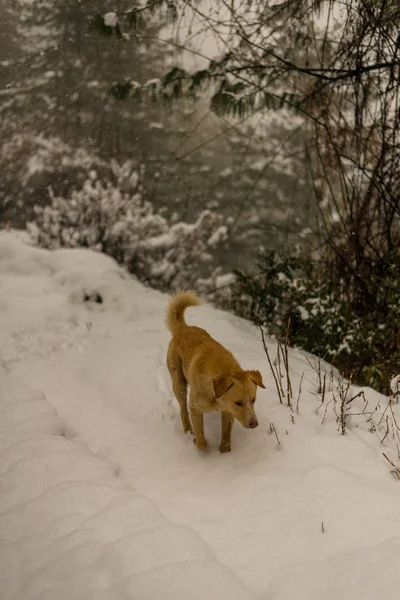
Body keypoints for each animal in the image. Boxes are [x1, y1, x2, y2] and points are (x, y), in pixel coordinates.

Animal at [166, 290, 266, 450]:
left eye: (253, 400)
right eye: (238, 402)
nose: (254, 424)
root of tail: (184, 328)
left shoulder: (228, 411)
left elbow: (226, 435)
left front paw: (225, 450)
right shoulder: (195, 408)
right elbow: (201, 440)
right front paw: (200, 444)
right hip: (178, 383)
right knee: (183, 409)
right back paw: (188, 430)